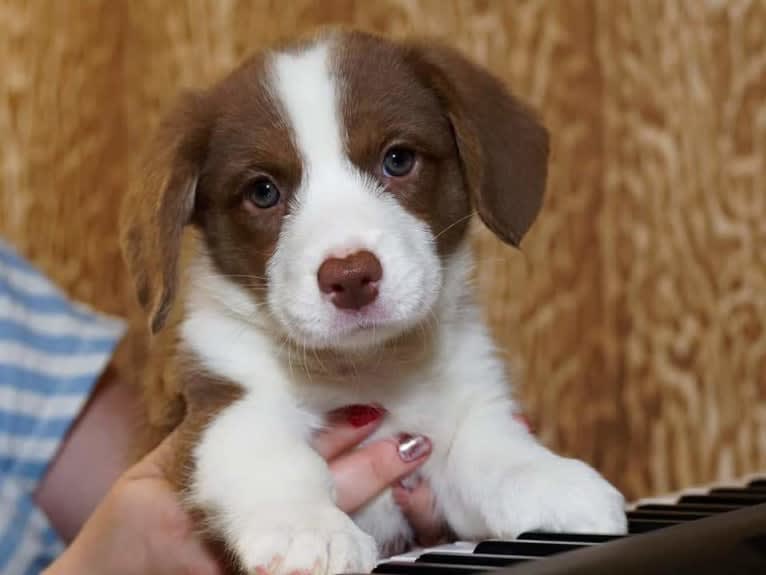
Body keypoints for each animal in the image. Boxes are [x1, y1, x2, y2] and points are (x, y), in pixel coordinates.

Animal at [118, 29, 624, 575]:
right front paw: (308, 530)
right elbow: (269, 453)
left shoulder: (466, 402)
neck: (368, 364)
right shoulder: (217, 403)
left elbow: (491, 446)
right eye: (263, 191)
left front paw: (551, 482)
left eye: (398, 159)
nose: (350, 276)